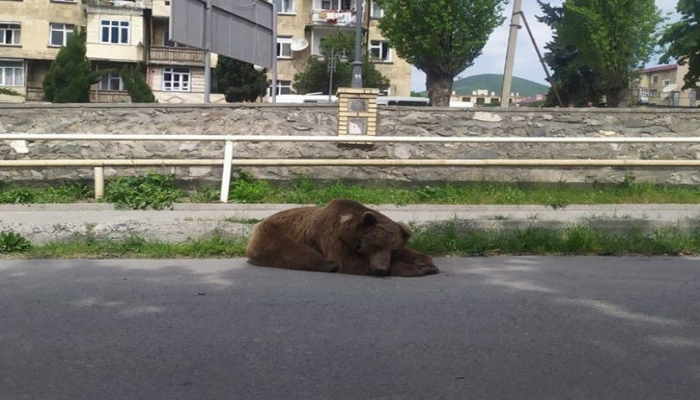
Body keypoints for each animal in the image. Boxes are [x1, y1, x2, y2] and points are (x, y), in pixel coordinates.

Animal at [247, 198, 438, 276]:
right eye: (374, 246)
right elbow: (348, 262)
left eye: (394, 250)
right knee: (294, 252)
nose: (381, 270)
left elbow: (412, 252)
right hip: (275, 233)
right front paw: (417, 269)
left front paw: (428, 265)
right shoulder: (333, 238)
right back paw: (327, 266)